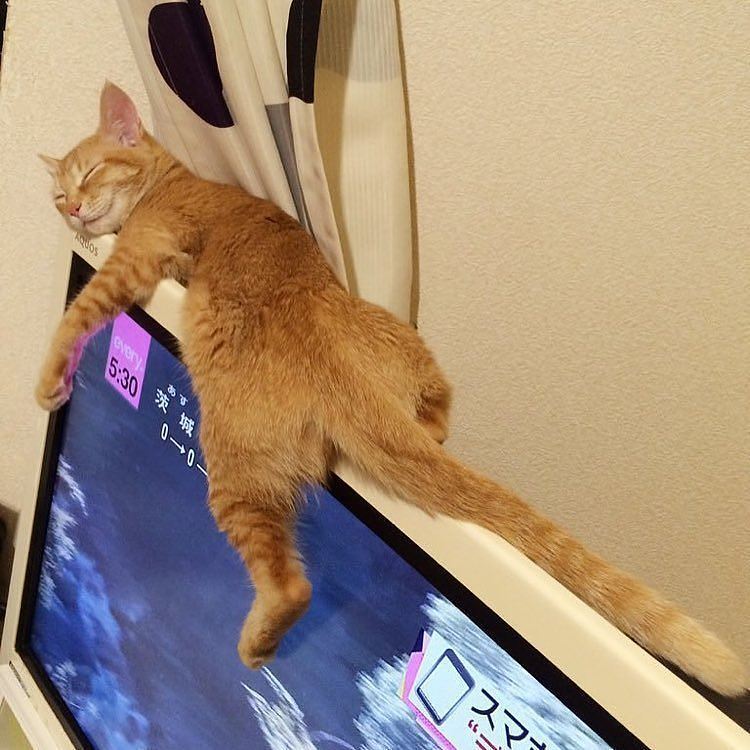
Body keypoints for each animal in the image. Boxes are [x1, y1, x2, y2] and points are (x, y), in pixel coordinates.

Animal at [36, 82, 745, 697]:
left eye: (87, 176)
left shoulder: (136, 254)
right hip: (400, 345)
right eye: (58, 193)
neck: (171, 179)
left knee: (292, 585)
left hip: (234, 471)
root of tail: (319, 334)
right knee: (437, 405)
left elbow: (76, 315)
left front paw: (48, 384)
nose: (68, 210)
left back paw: (257, 642)